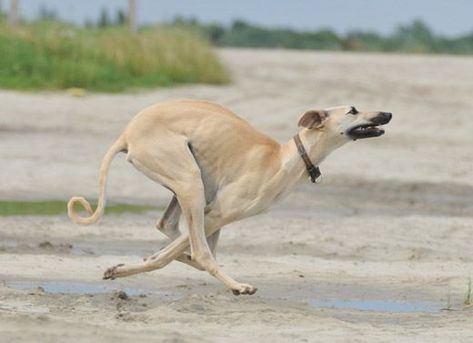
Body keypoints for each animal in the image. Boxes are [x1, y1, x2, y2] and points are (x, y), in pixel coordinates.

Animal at [67, 99, 390, 296]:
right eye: (353, 110)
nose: (388, 114)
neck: (286, 159)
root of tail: (127, 133)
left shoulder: (215, 218)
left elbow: (177, 249)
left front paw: (132, 263)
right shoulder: (216, 214)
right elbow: (186, 254)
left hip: (188, 188)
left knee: (168, 228)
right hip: (189, 183)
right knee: (198, 251)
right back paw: (237, 285)